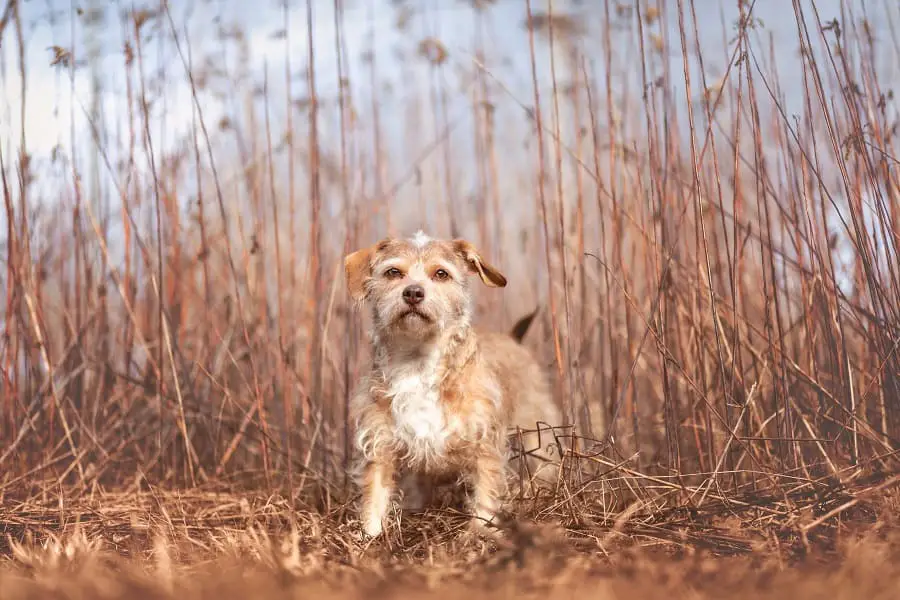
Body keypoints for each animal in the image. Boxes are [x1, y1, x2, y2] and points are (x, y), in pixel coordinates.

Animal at [344, 232, 564, 536]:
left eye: (441, 273)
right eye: (393, 272)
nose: (413, 293)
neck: (418, 363)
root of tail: (513, 338)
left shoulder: (485, 445)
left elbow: (485, 493)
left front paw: (480, 532)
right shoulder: (380, 444)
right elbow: (375, 495)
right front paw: (370, 535)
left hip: (538, 435)